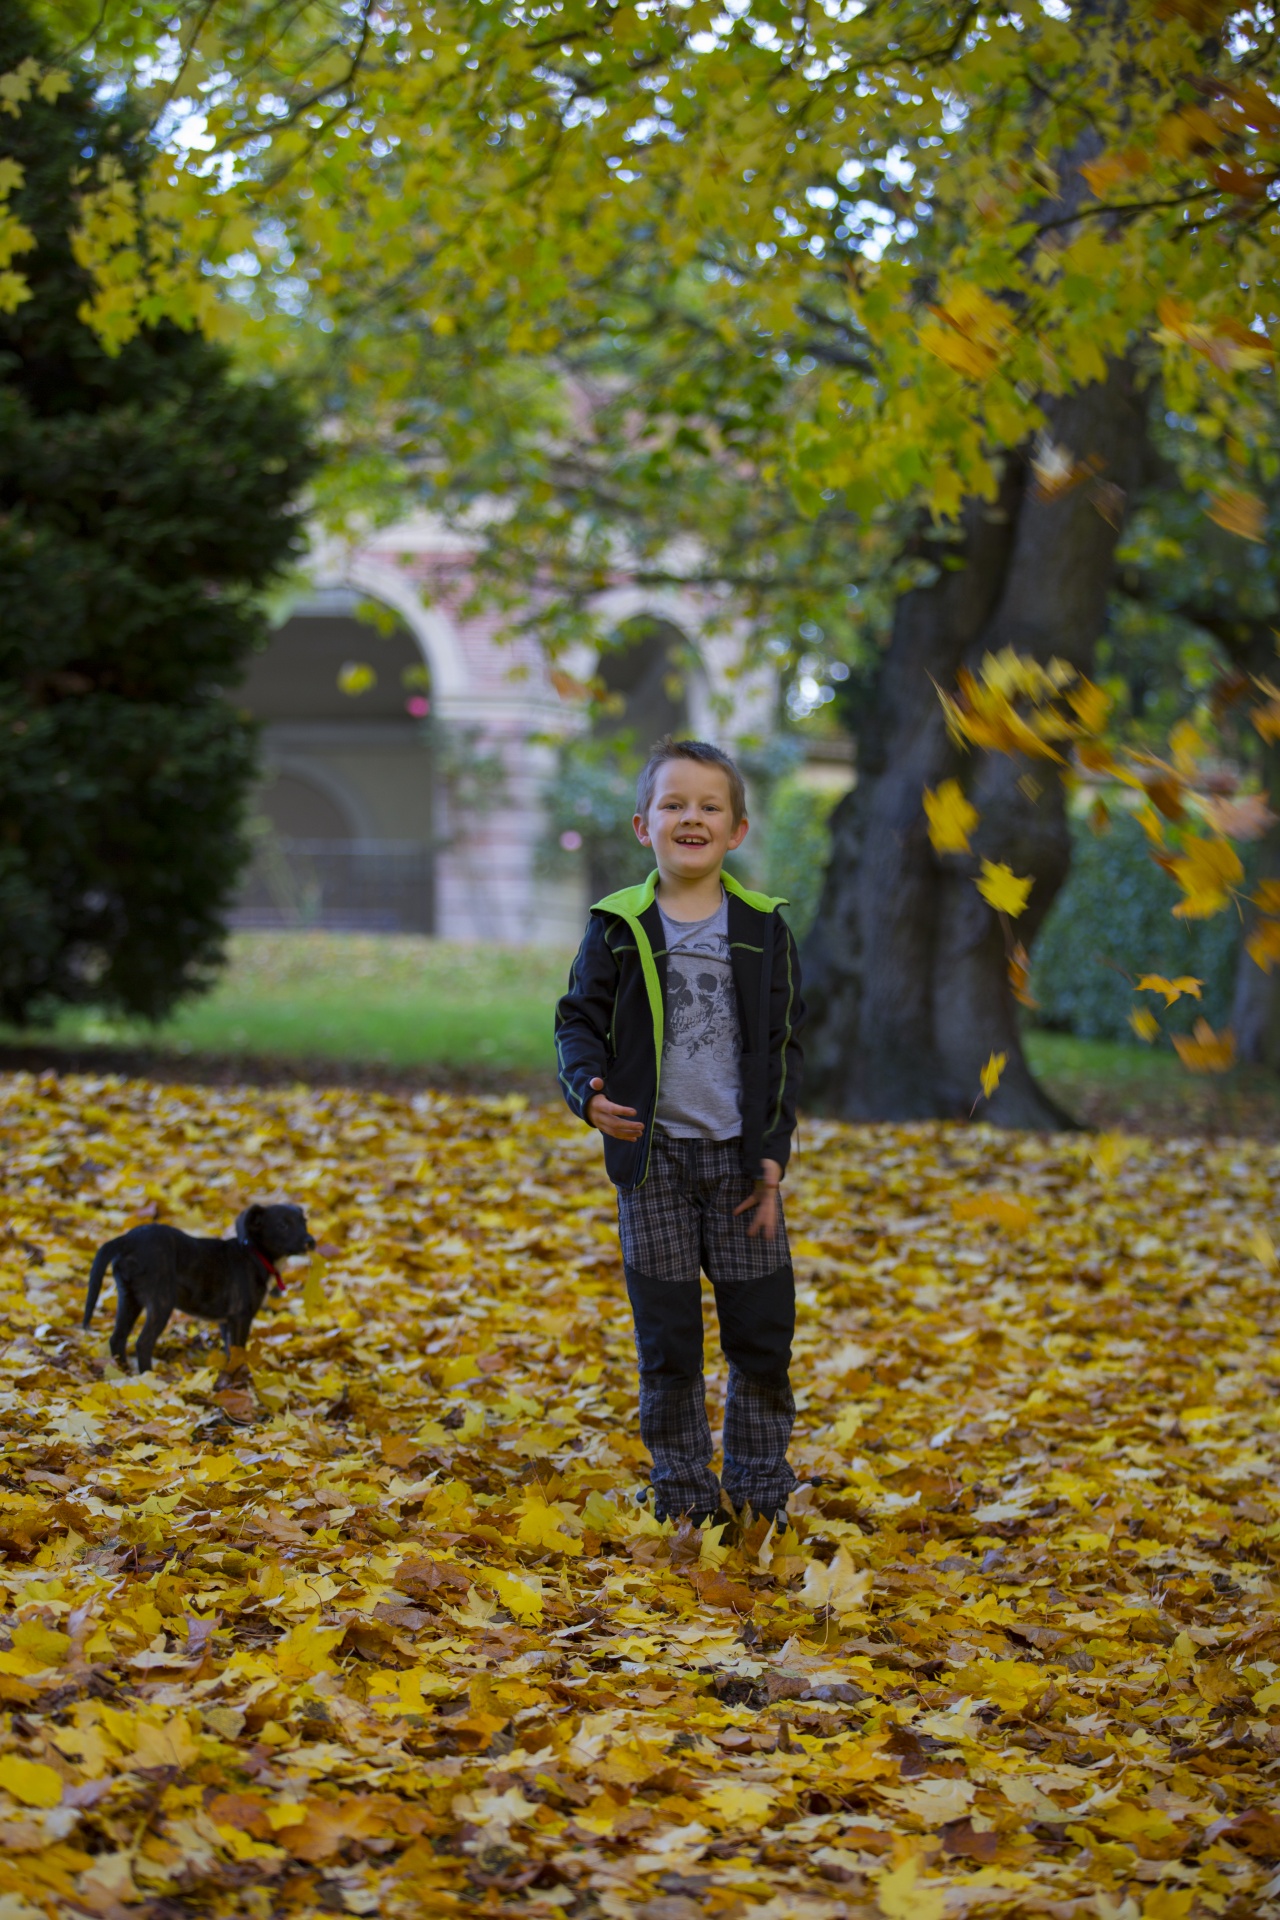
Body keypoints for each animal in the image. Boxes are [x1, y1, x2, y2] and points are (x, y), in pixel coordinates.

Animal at [83, 1205, 316, 1374]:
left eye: (304, 1222)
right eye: (283, 1225)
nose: (311, 1242)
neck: (254, 1253)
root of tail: (127, 1239)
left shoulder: (226, 1321)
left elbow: (230, 1349)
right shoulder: (241, 1316)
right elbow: (239, 1349)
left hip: (129, 1298)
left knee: (117, 1338)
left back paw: (122, 1372)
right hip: (161, 1300)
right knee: (143, 1343)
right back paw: (149, 1376)